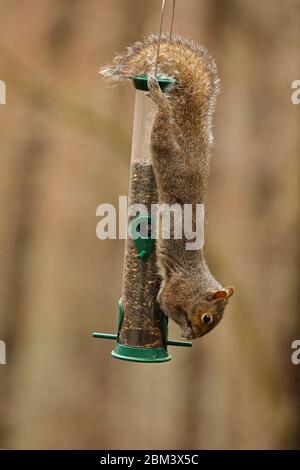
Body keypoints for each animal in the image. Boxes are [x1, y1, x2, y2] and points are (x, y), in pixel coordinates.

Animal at [102, 35, 236, 340]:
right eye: (208, 318)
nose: (195, 337)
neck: (196, 287)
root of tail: (192, 146)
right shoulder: (175, 292)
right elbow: (166, 304)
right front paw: (184, 328)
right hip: (166, 153)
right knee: (161, 128)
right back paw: (158, 98)